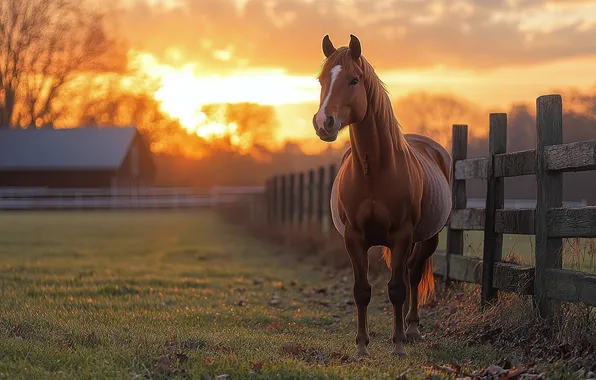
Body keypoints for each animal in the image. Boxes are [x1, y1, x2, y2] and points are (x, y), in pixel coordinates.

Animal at [312, 34, 452, 358]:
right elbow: (361, 291)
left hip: (428, 238)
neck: (373, 171)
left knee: (413, 275)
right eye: (322, 79)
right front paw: (362, 346)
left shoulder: (401, 236)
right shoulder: (353, 238)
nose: (324, 122)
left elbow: (397, 289)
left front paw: (398, 344)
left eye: (353, 80)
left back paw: (411, 329)